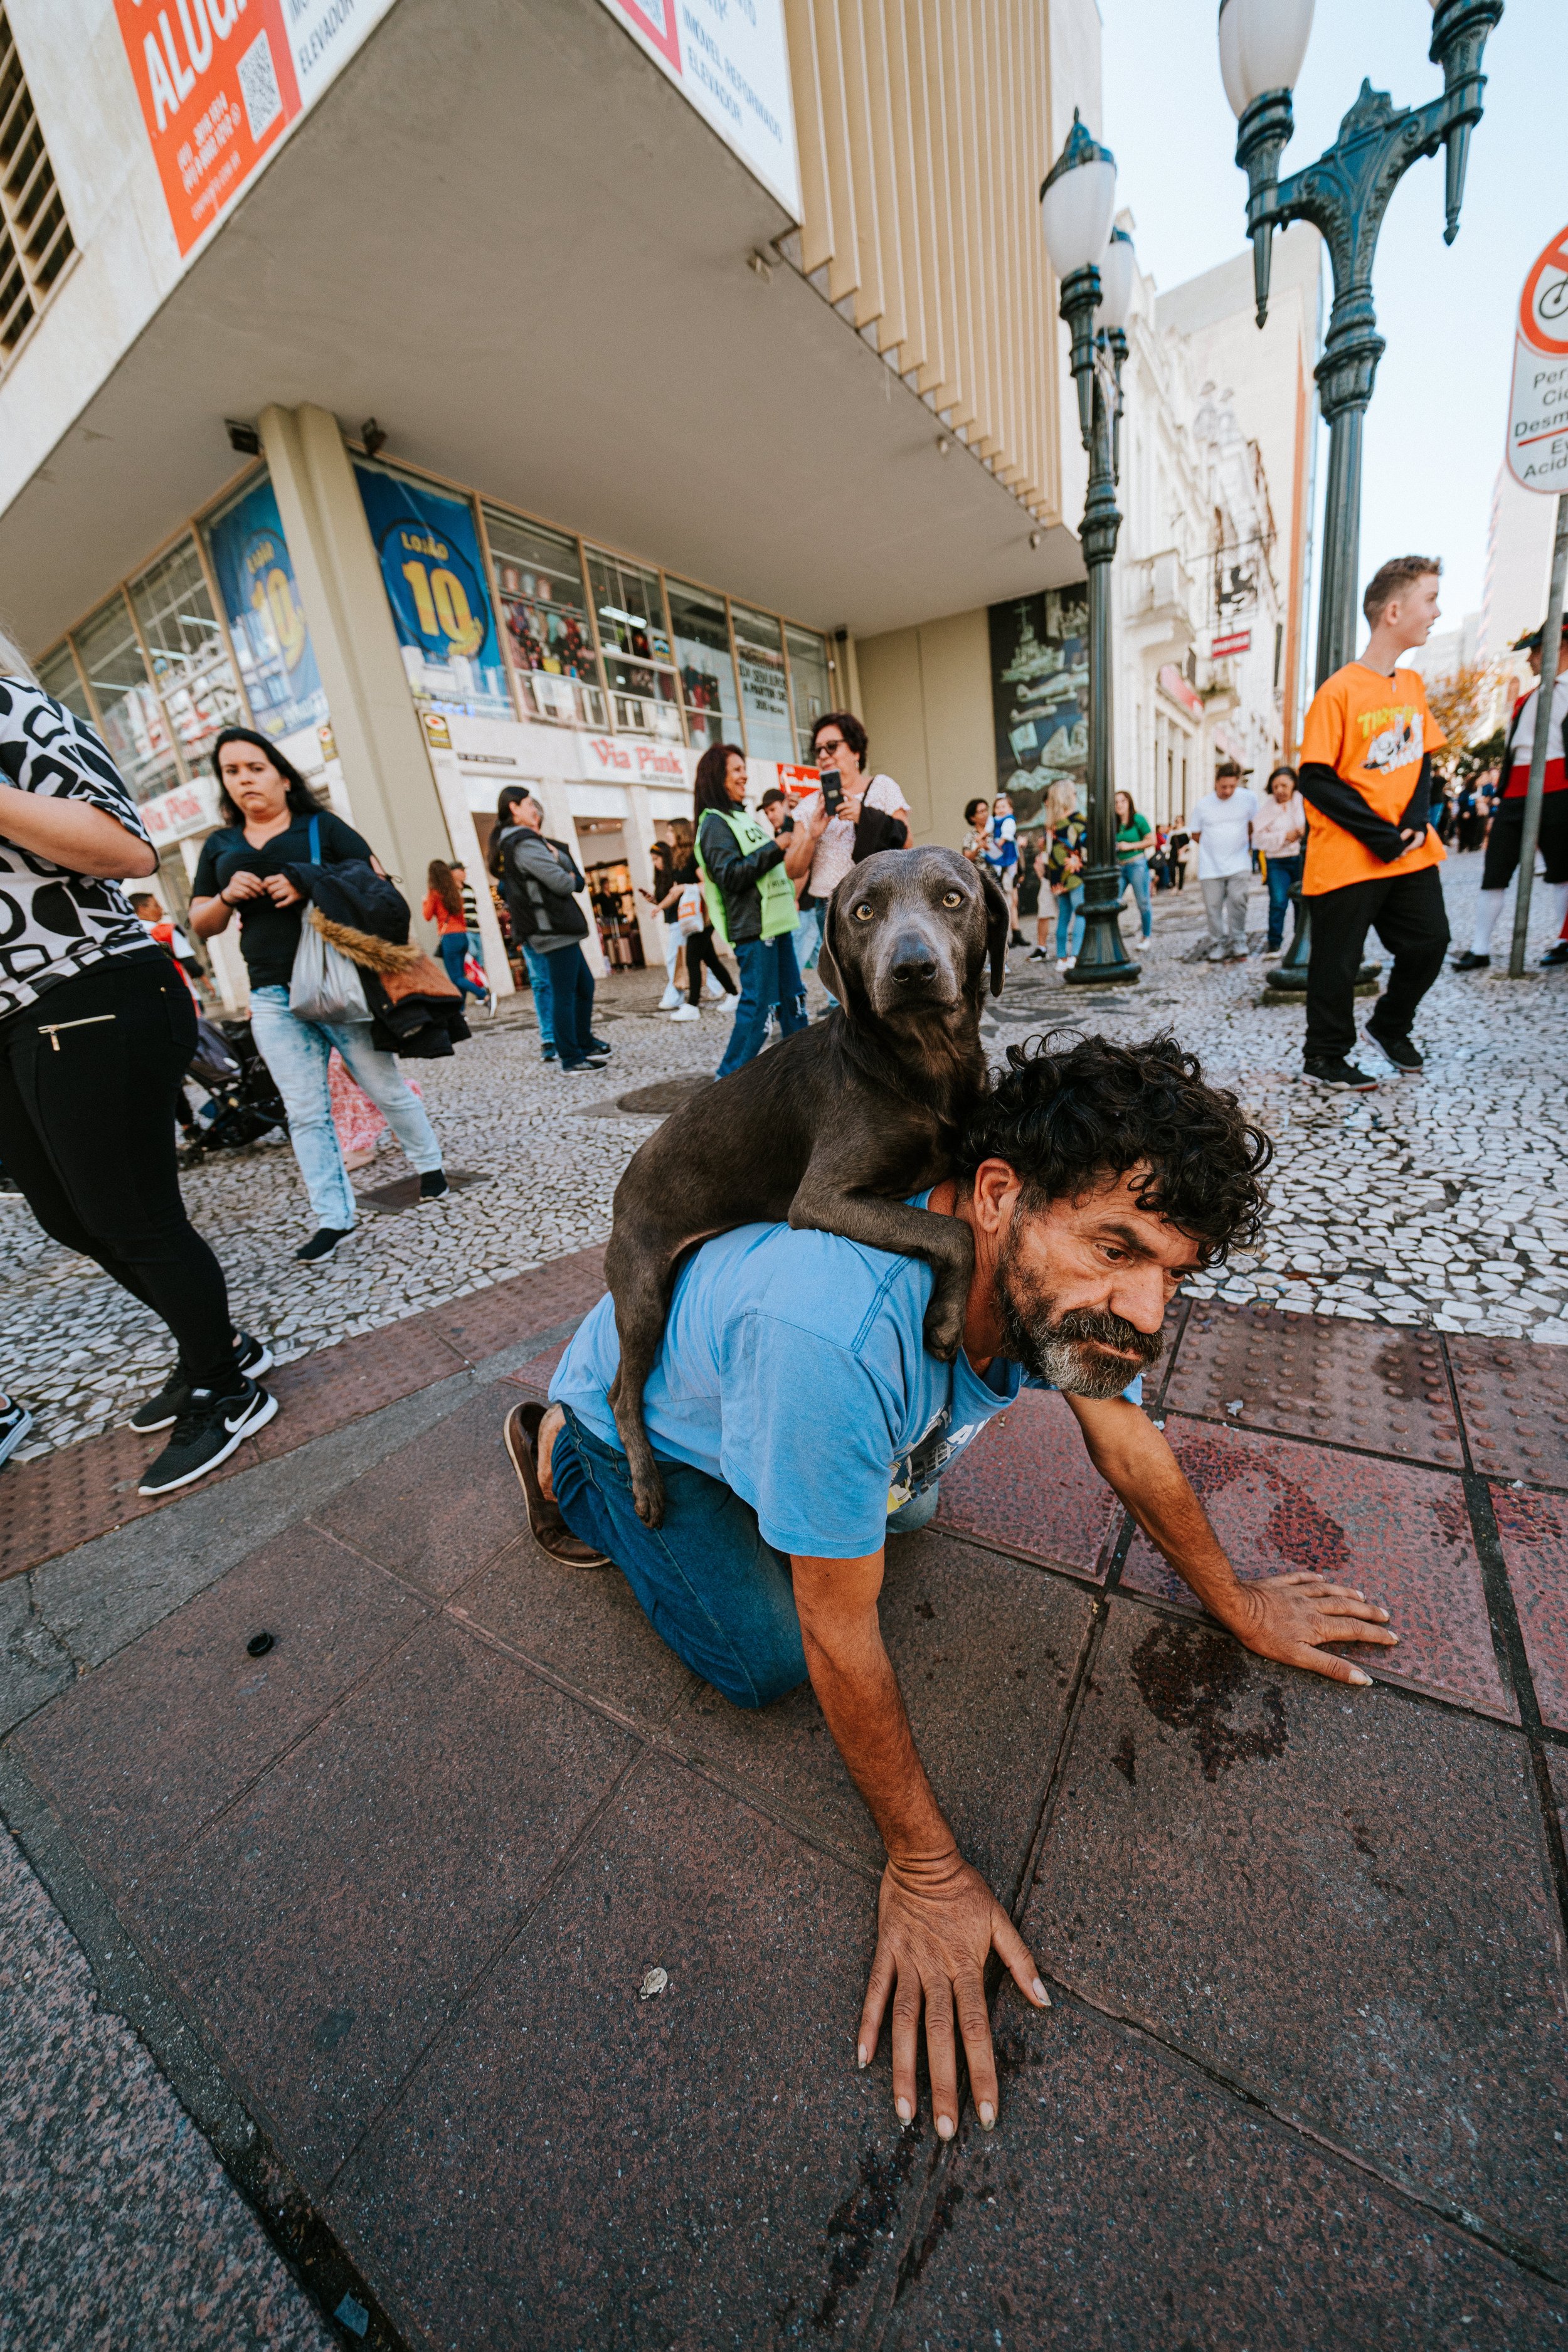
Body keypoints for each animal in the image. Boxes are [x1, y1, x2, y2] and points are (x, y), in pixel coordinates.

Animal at [607, 847, 1010, 1524]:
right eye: (863, 911)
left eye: (954, 898)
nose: (912, 968)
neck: (925, 1066)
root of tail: (622, 1183)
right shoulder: (822, 1198)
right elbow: (949, 1227)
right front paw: (945, 1322)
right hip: (642, 1297)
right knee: (620, 1393)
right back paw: (644, 1485)